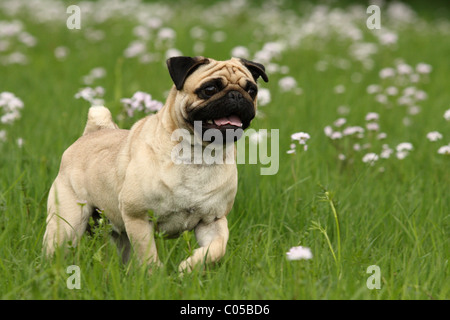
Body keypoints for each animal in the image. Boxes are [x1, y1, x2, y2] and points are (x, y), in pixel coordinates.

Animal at [42, 56, 268, 272]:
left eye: (251, 91)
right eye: (209, 89)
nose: (237, 95)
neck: (199, 154)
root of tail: (92, 133)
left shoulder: (213, 220)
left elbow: (216, 248)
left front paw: (190, 266)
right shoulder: (139, 218)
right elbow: (148, 256)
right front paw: (156, 277)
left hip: (118, 231)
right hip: (67, 225)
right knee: (57, 249)